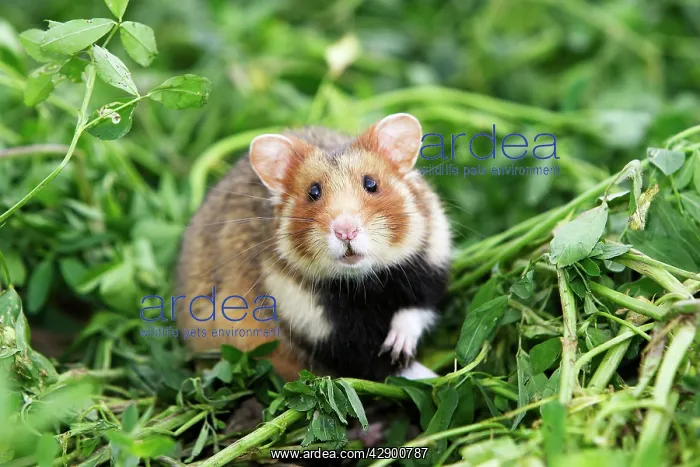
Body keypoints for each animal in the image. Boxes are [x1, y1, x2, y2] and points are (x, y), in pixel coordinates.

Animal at [176, 113, 451, 381]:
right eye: (313, 192)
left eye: (371, 184)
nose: (346, 231)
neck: (363, 282)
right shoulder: (324, 328)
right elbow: (381, 365)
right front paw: (439, 377)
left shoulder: (428, 267)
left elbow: (415, 311)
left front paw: (399, 346)